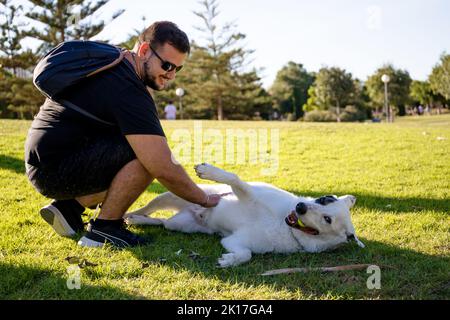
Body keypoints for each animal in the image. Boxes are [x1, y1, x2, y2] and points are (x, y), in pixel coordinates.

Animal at [125, 164, 364, 266]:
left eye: (327, 220)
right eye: (325, 199)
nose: (300, 207)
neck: (283, 224)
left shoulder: (234, 241)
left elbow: (245, 254)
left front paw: (230, 260)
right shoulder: (248, 193)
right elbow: (234, 178)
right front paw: (210, 171)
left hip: (179, 224)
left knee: (163, 222)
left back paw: (137, 220)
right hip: (170, 193)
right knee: (148, 207)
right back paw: (132, 215)